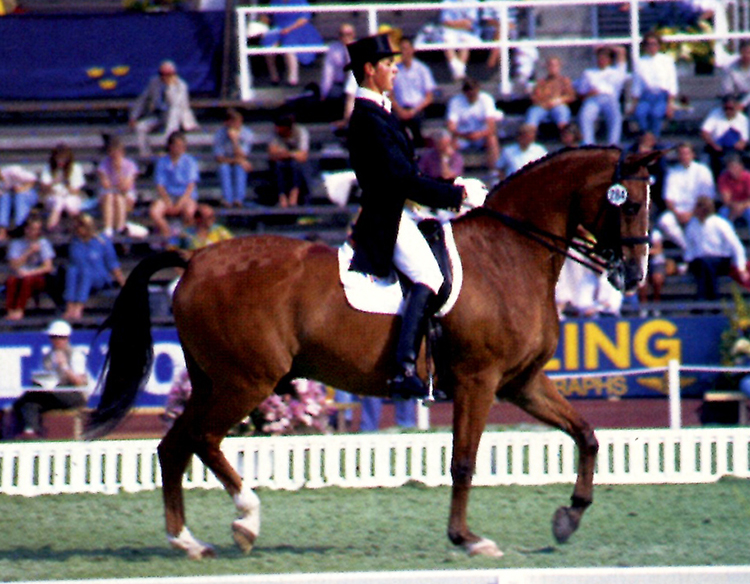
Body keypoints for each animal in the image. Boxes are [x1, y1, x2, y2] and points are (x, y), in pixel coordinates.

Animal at [86, 145, 656, 556]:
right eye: (627, 201)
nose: (633, 275)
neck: (509, 254)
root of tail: (197, 259)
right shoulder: (479, 380)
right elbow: (464, 461)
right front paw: (468, 540)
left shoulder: (522, 383)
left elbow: (586, 434)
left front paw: (569, 517)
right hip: (246, 381)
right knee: (202, 439)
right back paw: (246, 520)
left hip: (212, 380)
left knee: (174, 446)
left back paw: (187, 541)